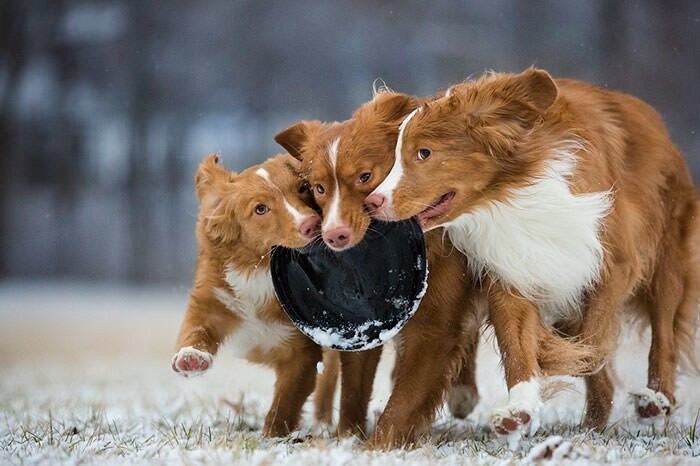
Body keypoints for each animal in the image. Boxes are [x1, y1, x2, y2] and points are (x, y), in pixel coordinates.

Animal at [173, 155, 348, 436]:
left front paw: (273, 435)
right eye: (260, 209)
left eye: (302, 188)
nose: (310, 224)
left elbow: (286, 401)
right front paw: (191, 357)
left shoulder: (301, 352)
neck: (261, 271)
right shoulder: (213, 301)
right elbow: (195, 327)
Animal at [366, 67, 700, 438]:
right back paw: (593, 422)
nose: (372, 201)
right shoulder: (514, 268)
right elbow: (518, 345)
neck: (509, 196)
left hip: (668, 261)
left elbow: (594, 341)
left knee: (664, 333)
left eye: (423, 152)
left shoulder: (614, 263)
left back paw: (656, 397)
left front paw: (555, 355)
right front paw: (520, 409)